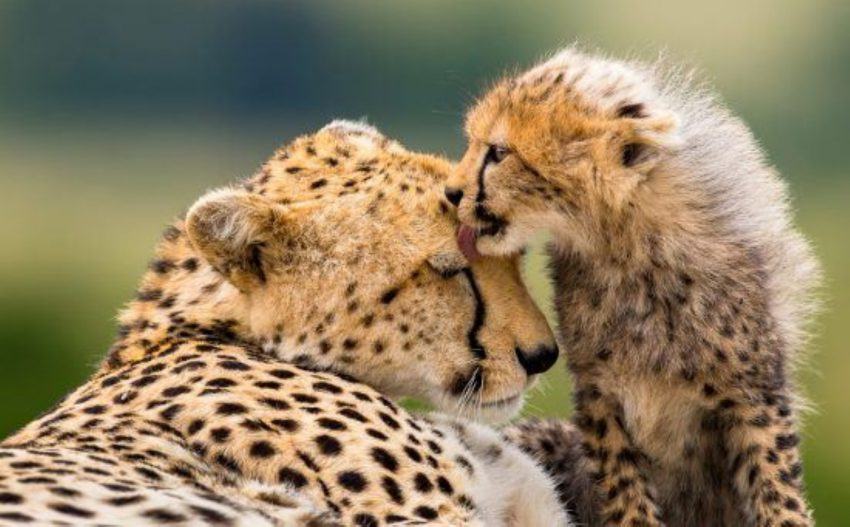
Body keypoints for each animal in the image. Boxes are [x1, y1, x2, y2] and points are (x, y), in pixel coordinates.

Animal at [446, 47, 822, 527]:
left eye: (498, 152)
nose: (451, 192)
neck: (623, 247)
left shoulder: (753, 395)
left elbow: (777, 487)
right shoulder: (599, 394)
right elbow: (626, 490)